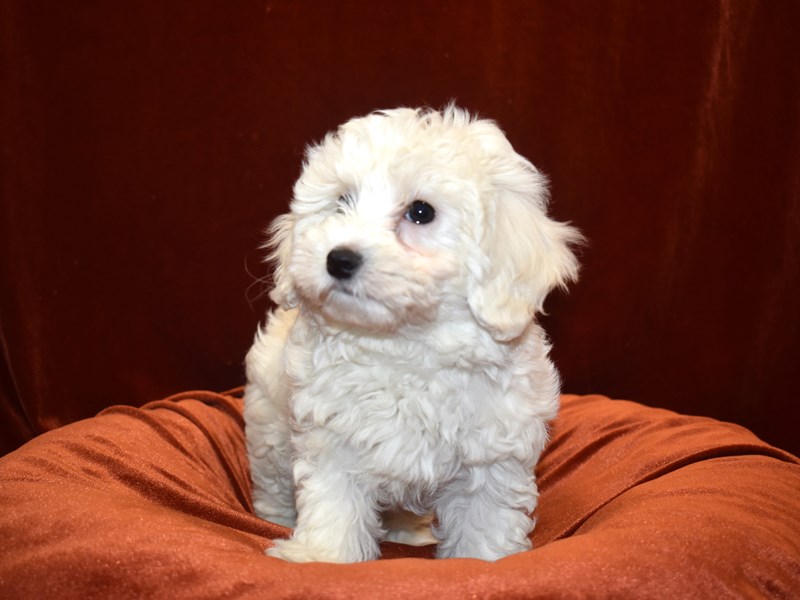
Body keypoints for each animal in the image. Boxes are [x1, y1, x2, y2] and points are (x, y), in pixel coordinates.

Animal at [245, 104, 580, 564]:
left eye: (421, 212)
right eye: (342, 202)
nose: (339, 259)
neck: (406, 344)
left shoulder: (493, 457)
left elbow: (485, 523)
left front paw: (484, 560)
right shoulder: (331, 440)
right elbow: (334, 504)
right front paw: (321, 557)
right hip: (270, 424)